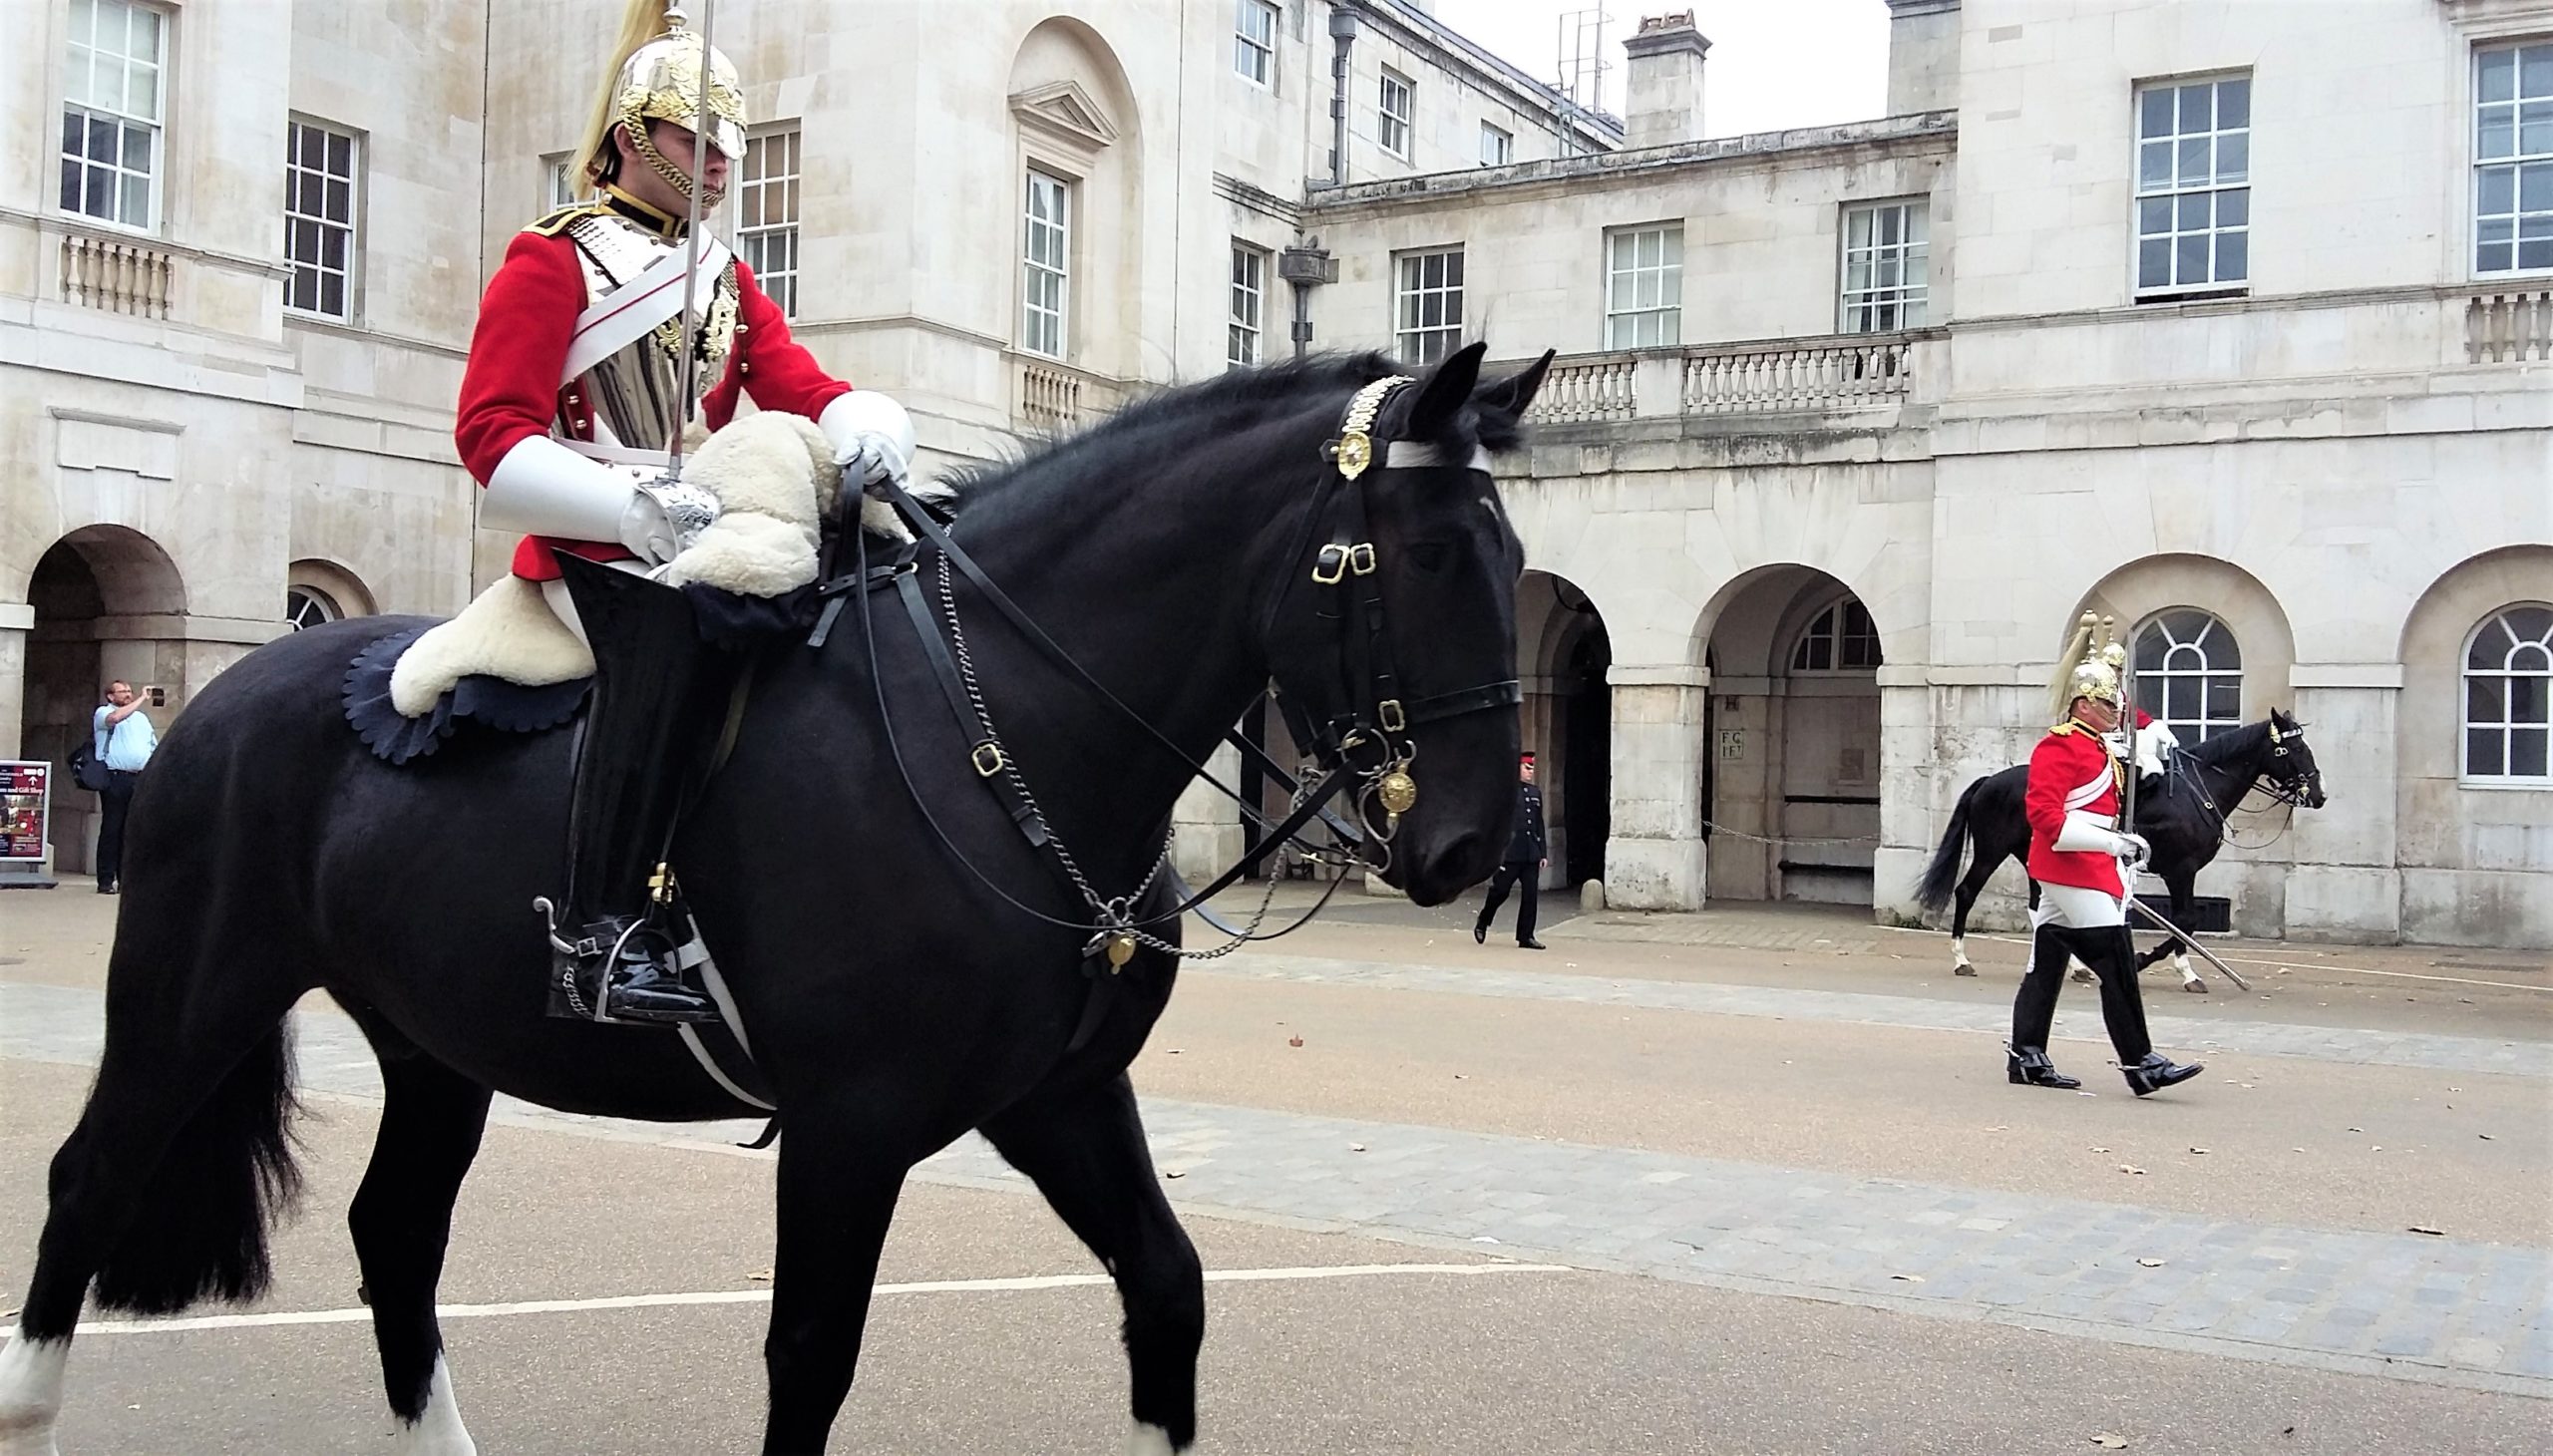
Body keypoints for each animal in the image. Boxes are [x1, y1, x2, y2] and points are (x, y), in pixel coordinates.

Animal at [0, 342, 1552, 1450]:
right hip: (191, 995)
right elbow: (810, 1359)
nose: (1476, 841)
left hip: (435, 1042)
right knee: (87, 1188)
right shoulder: (849, 1126)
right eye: (1418, 554)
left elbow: (1166, 1292)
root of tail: (236, 678)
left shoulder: (1056, 1097)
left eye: (1512, 560)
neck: (1001, 726)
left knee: (397, 1236)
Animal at [1920, 710, 2328, 990]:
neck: (2198, 793)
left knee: (2039, 905)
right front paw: (2164, 965)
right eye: (2291, 748)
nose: (2319, 795)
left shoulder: (2182, 872)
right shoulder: (2181, 870)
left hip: (2033, 857)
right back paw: (1961, 959)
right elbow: (2186, 921)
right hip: (1993, 850)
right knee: (1966, 891)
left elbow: (2184, 922)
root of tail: (1991, 779)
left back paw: (2071, 966)